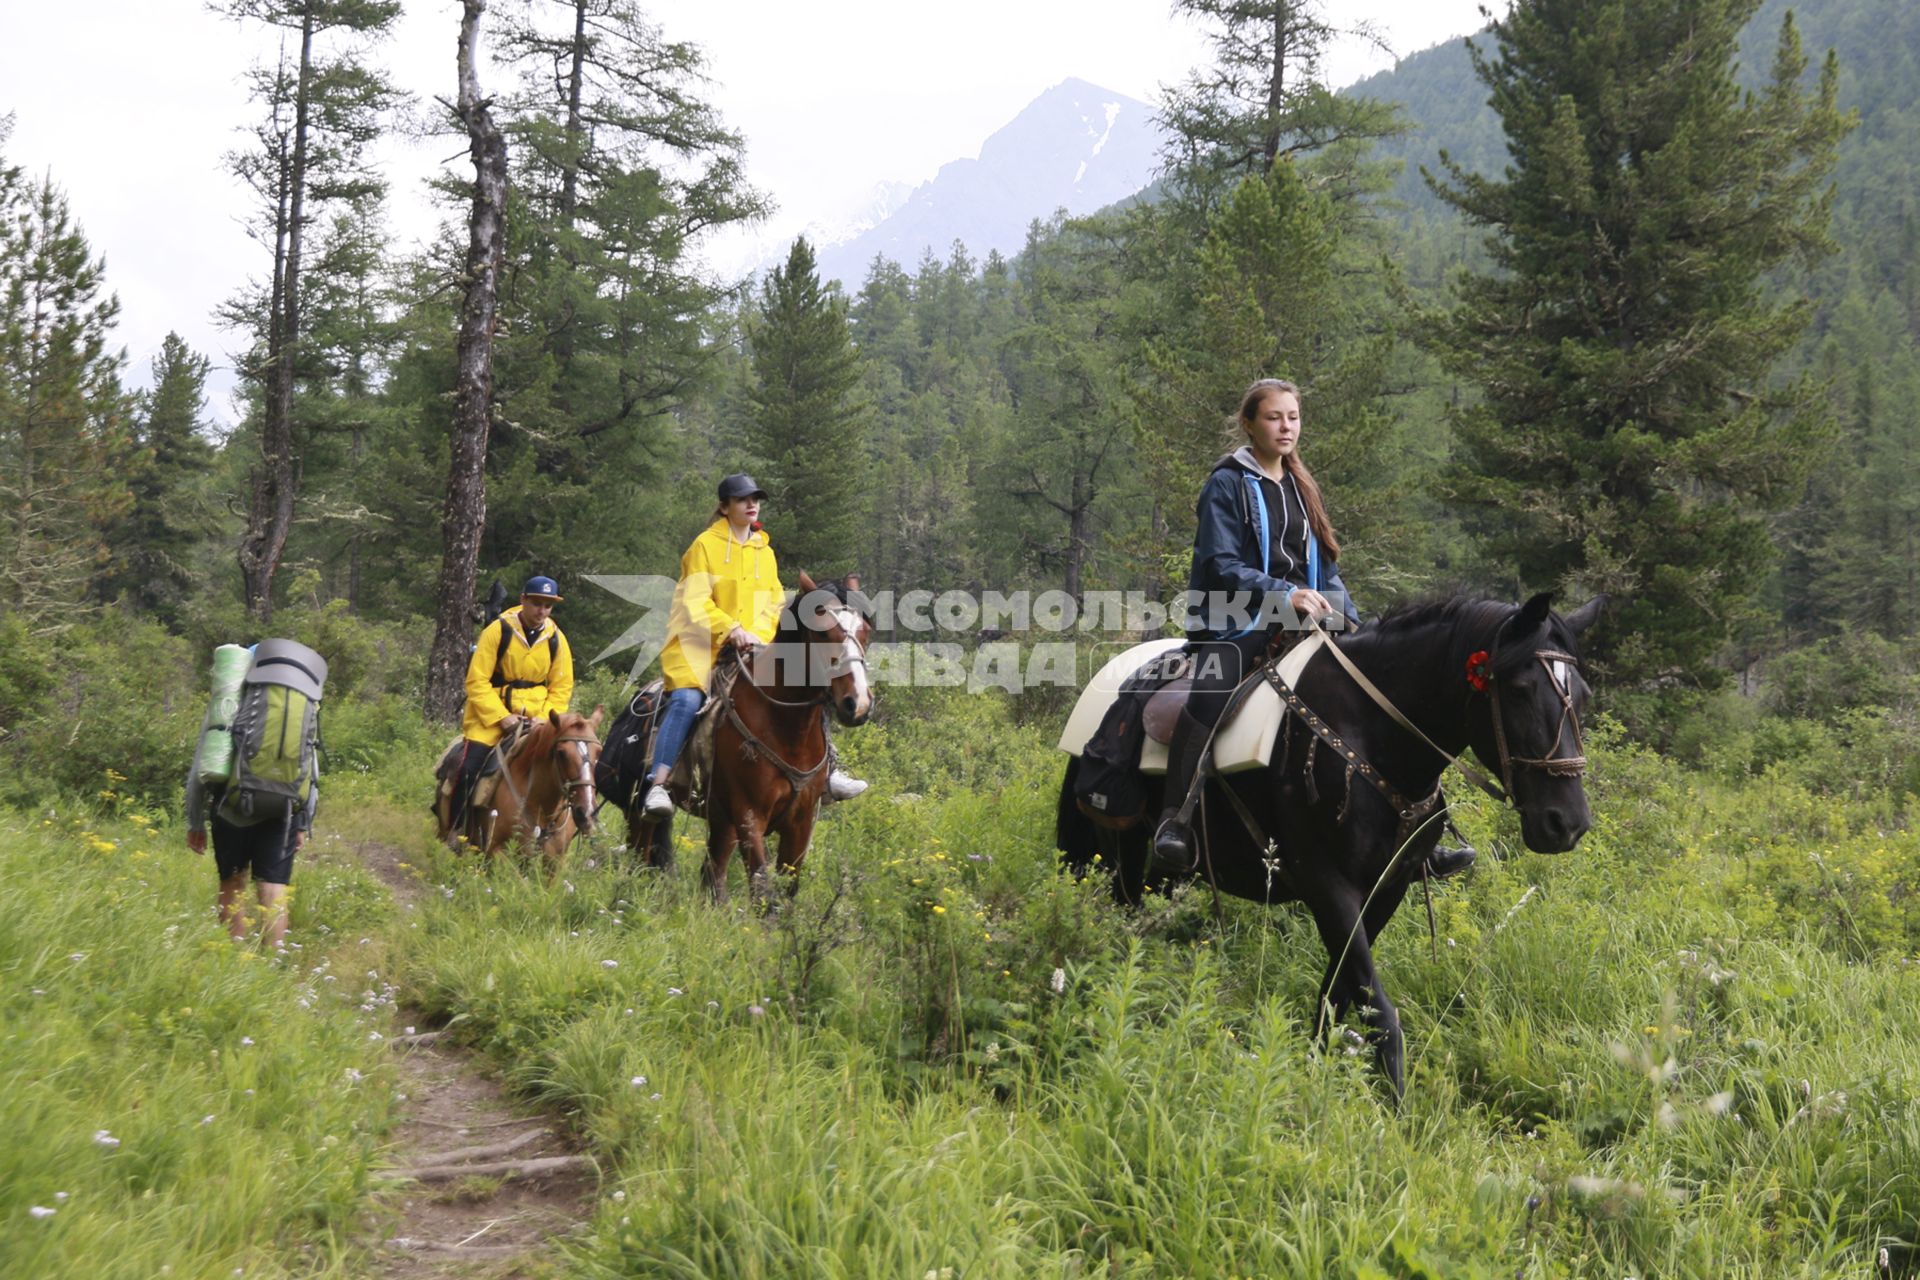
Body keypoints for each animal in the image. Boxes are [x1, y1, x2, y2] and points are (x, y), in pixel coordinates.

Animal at [437, 706, 602, 875]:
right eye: (561, 753)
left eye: (599, 752)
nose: (587, 813)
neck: (541, 809)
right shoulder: (496, 852)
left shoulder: (554, 863)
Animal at [629, 571, 871, 901]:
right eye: (822, 634)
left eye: (866, 632)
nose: (857, 704)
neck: (788, 731)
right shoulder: (749, 815)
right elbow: (762, 890)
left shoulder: (801, 822)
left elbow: (787, 891)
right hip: (642, 810)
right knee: (640, 855)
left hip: (721, 820)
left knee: (712, 872)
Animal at [1059, 594, 1597, 1097]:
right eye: (1521, 689)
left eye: (1583, 694)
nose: (1566, 824)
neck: (1371, 735)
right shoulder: (1327, 885)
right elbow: (1380, 1014)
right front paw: (1394, 1116)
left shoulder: (1387, 889)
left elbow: (1336, 997)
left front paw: (1317, 1076)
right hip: (1121, 859)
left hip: (1166, 875)